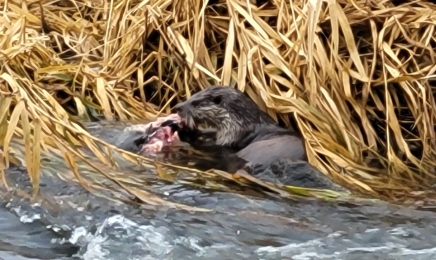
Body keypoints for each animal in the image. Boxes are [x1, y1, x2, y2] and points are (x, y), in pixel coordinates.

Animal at [171, 86, 306, 175]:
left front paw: (186, 131)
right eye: (192, 95)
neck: (240, 122)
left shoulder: (232, 135)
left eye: (195, 102)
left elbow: (213, 146)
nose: (177, 107)